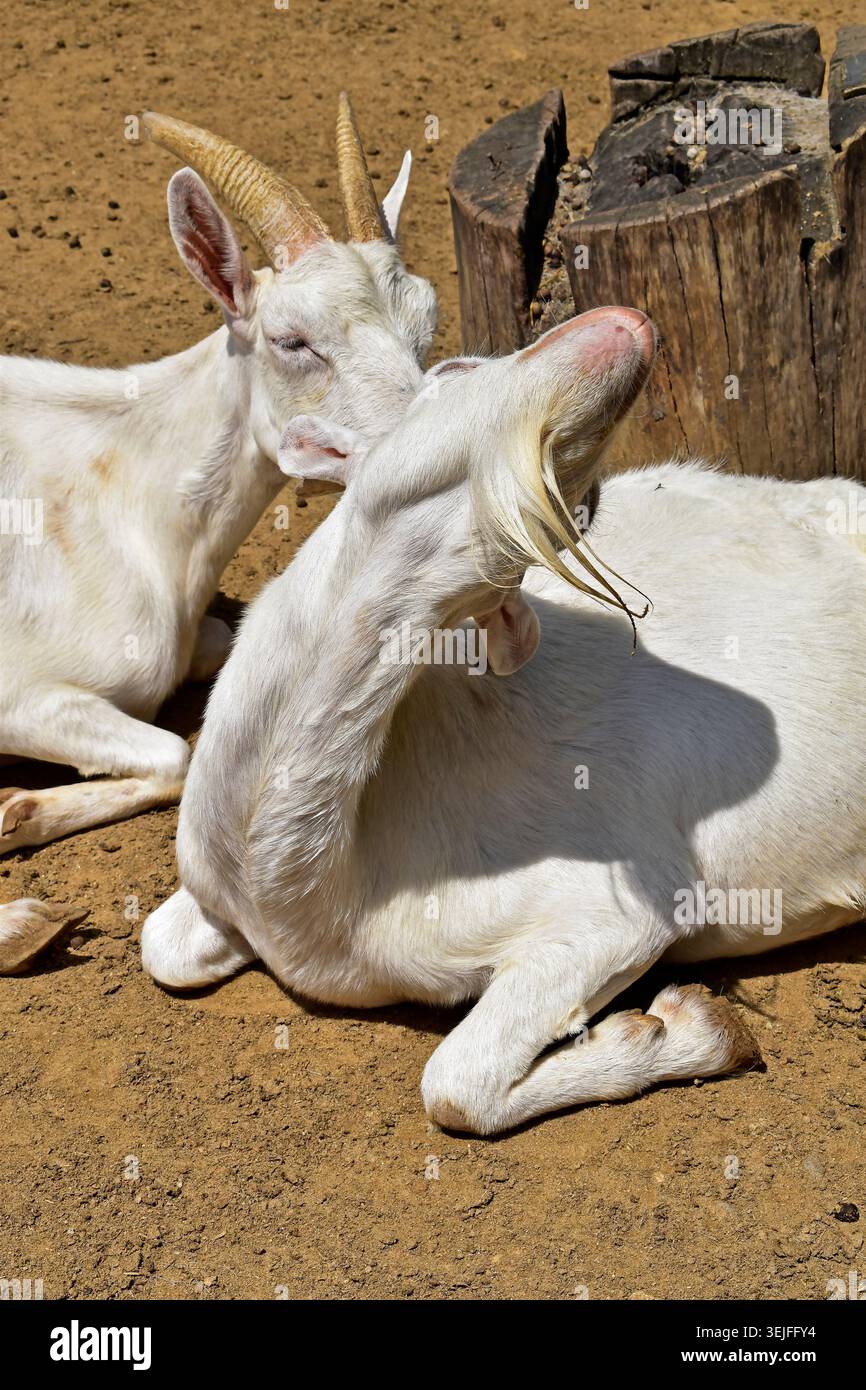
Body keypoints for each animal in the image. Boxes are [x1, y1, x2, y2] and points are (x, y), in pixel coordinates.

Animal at [0, 97, 437, 973]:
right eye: (293, 340)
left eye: (425, 327)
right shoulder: (20, 688)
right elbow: (176, 753)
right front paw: (15, 814)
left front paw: (17, 811)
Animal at [142, 306, 866, 1133]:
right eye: (453, 370)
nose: (626, 325)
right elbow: (159, 948)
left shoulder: (611, 908)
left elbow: (455, 1084)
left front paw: (688, 1028)